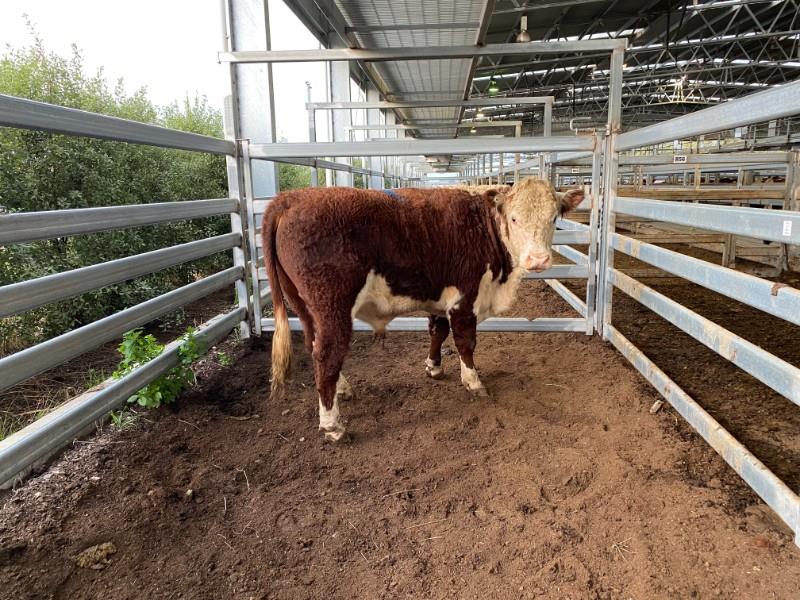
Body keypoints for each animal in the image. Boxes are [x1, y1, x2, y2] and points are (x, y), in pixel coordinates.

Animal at [262, 177, 585, 441]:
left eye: (554, 218)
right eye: (515, 218)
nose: (539, 260)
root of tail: (291, 198)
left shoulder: (442, 297)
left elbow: (438, 331)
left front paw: (434, 367)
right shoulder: (465, 296)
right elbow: (465, 342)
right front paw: (473, 382)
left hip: (303, 306)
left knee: (313, 345)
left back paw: (342, 390)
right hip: (331, 306)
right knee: (327, 356)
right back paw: (333, 425)